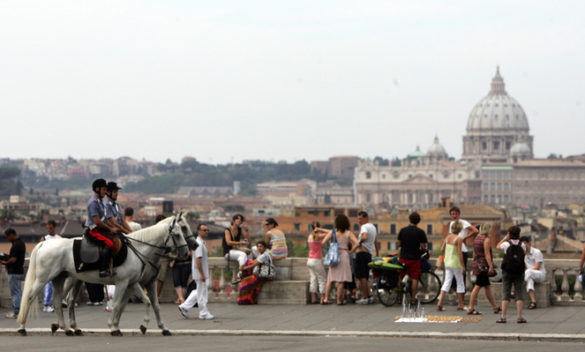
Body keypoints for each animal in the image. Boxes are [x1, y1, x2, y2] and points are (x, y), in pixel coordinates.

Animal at [17, 214, 188, 336]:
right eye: (178, 234)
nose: (186, 252)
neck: (139, 250)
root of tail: (44, 243)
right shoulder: (123, 282)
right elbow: (119, 304)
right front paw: (114, 327)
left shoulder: (134, 283)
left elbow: (149, 303)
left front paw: (159, 327)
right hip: (44, 278)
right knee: (31, 297)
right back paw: (23, 327)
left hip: (62, 278)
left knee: (60, 300)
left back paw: (67, 328)